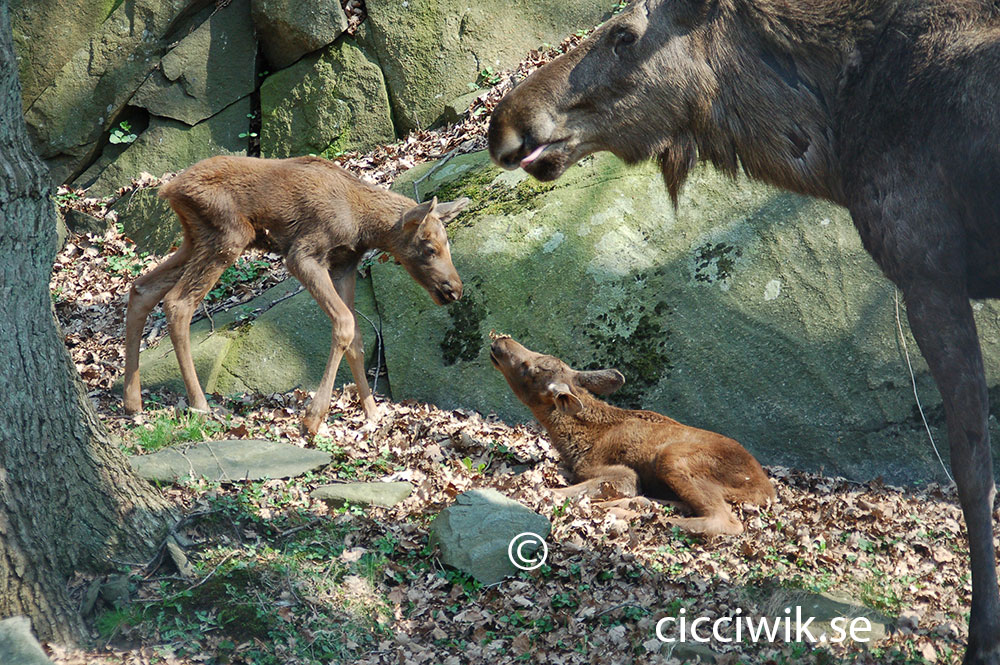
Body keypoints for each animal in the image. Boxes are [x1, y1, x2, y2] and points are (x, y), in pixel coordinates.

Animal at [122, 155, 468, 436]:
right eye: (429, 248)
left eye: (448, 244)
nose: (454, 289)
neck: (363, 227)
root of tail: (169, 189)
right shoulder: (302, 254)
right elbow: (344, 323)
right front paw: (313, 418)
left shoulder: (344, 265)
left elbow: (357, 336)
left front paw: (371, 412)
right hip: (229, 235)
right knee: (178, 302)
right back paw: (199, 404)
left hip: (196, 239)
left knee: (141, 288)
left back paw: (133, 401)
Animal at [492, 332, 772, 536]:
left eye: (529, 369)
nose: (500, 341)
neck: (575, 442)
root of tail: (766, 490)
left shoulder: (615, 471)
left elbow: (561, 491)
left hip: (673, 457)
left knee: (728, 522)